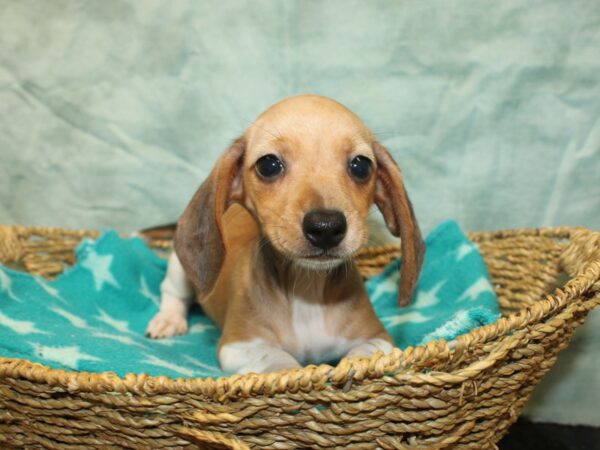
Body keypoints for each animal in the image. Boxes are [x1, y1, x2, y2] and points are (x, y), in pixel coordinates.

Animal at [146, 94, 424, 372]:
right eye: (268, 165)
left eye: (361, 166)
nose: (325, 227)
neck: (307, 292)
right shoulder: (238, 345)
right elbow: (278, 360)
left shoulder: (378, 338)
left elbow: (364, 357)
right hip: (178, 268)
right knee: (173, 293)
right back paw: (168, 320)